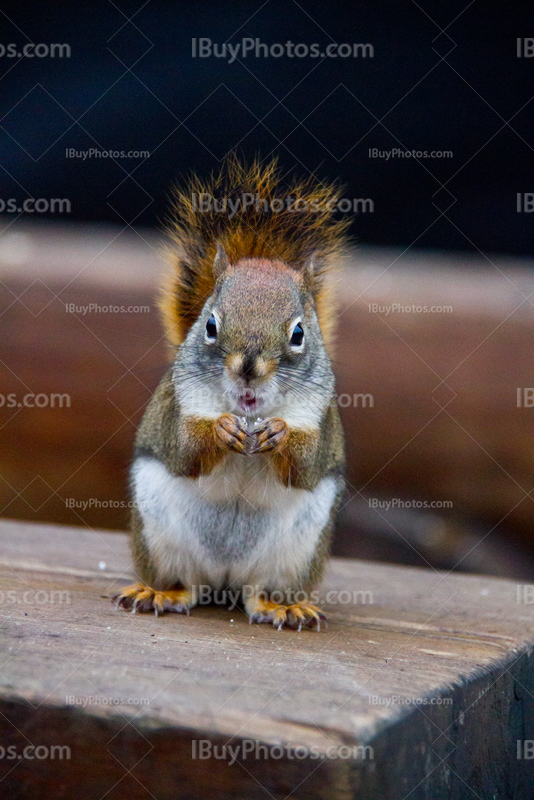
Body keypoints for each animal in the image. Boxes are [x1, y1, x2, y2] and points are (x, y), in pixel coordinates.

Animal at [113, 156, 350, 632]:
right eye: (210, 325)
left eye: (299, 333)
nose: (247, 369)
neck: (249, 409)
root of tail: (225, 579)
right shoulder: (179, 405)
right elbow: (185, 450)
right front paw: (221, 429)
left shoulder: (318, 415)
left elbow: (305, 465)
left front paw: (278, 432)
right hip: (158, 535)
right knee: (185, 583)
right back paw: (160, 593)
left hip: (296, 554)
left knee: (260, 592)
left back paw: (283, 607)